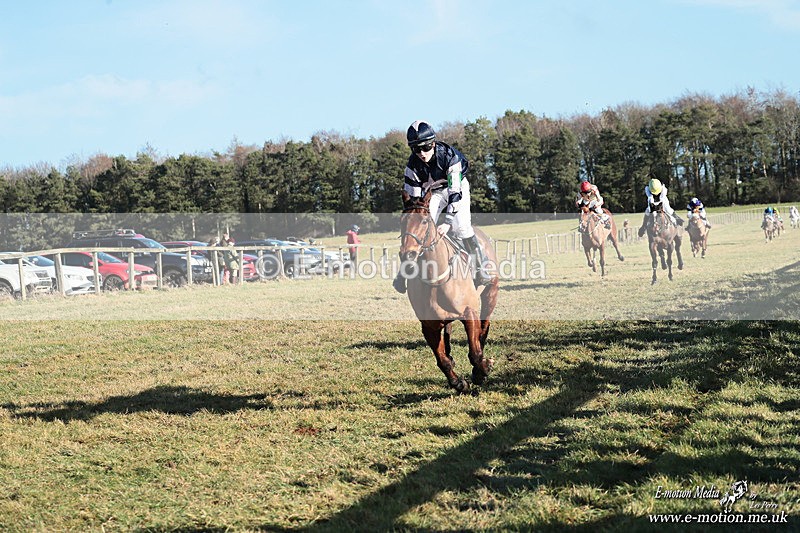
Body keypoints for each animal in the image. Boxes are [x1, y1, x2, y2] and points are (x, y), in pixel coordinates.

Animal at [399, 190, 499, 393]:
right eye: (401, 221)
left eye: (424, 221)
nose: (408, 254)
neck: (436, 279)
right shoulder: (428, 326)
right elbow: (442, 360)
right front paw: (458, 382)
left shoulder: (469, 313)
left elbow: (475, 352)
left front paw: (482, 371)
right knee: (448, 333)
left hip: (490, 292)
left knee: (484, 327)